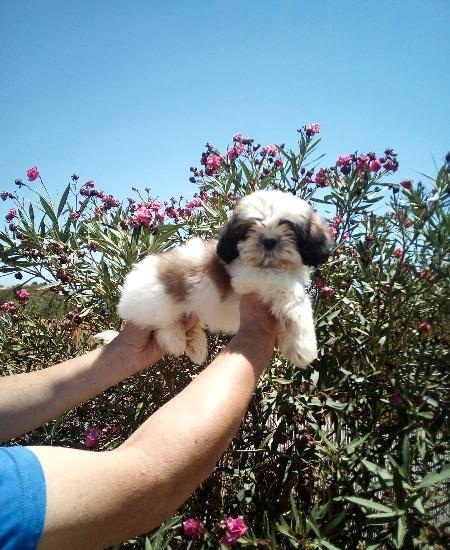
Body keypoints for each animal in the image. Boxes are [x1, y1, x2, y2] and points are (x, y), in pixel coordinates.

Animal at [96, 191, 330, 370]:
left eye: (289, 226)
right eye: (249, 229)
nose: (269, 241)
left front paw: (292, 342)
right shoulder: (249, 277)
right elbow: (295, 296)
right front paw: (304, 345)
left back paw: (196, 346)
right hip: (157, 306)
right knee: (162, 327)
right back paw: (176, 339)